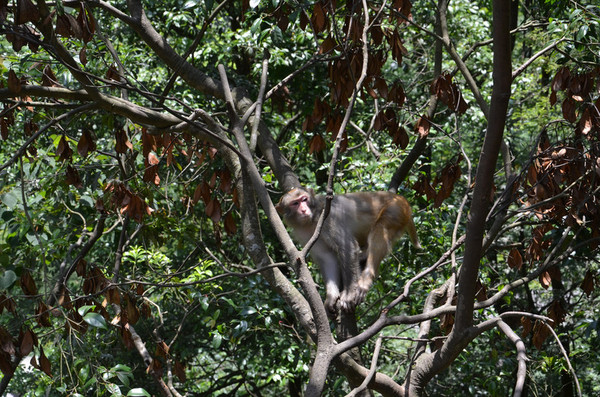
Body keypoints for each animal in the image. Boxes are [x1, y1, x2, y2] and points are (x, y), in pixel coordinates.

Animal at [276, 187, 420, 314]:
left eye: (304, 199)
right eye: (295, 203)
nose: (304, 209)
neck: (312, 220)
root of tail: (402, 199)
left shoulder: (328, 217)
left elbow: (347, 247)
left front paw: (349, 294)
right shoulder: (304, 233)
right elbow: (327, 258)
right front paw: (331, 297)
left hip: (396, 209)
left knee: (380, 228)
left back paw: (366, 278)